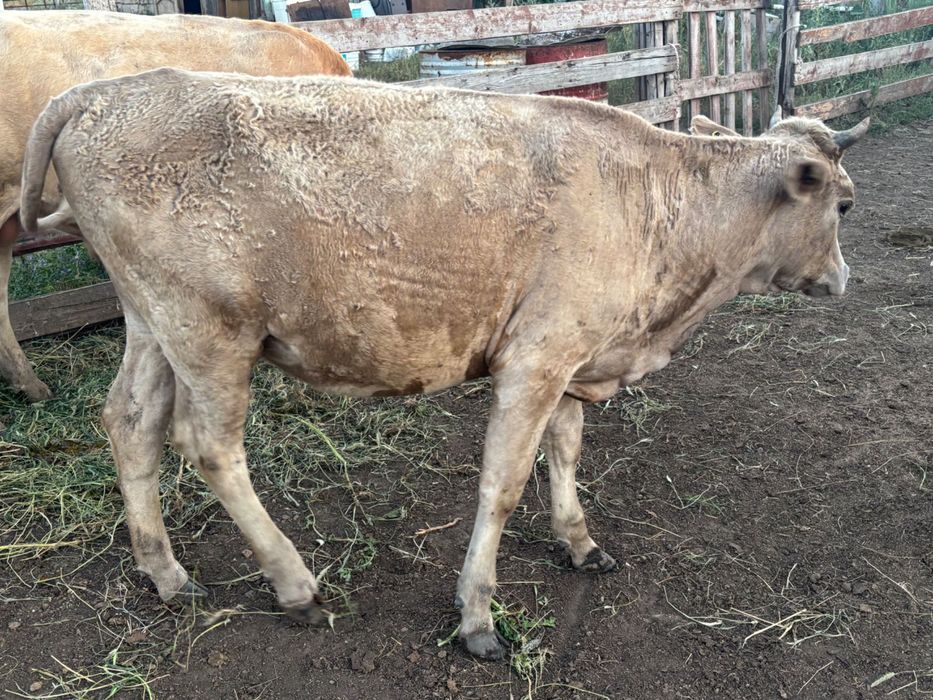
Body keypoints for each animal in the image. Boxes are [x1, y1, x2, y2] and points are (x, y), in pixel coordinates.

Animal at [21, 68, 867, 660]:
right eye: (843, 205)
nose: (841, 279)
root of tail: (105, 91)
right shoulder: (536, 359)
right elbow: (503, 483)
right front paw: (478, 615)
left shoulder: (571, 354)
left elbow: (566, 450)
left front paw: (578, 542)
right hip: (209, 330)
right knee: (208, 446)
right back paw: (293, 583)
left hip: (152, 322)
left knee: (131, 422)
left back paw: (163, 571)